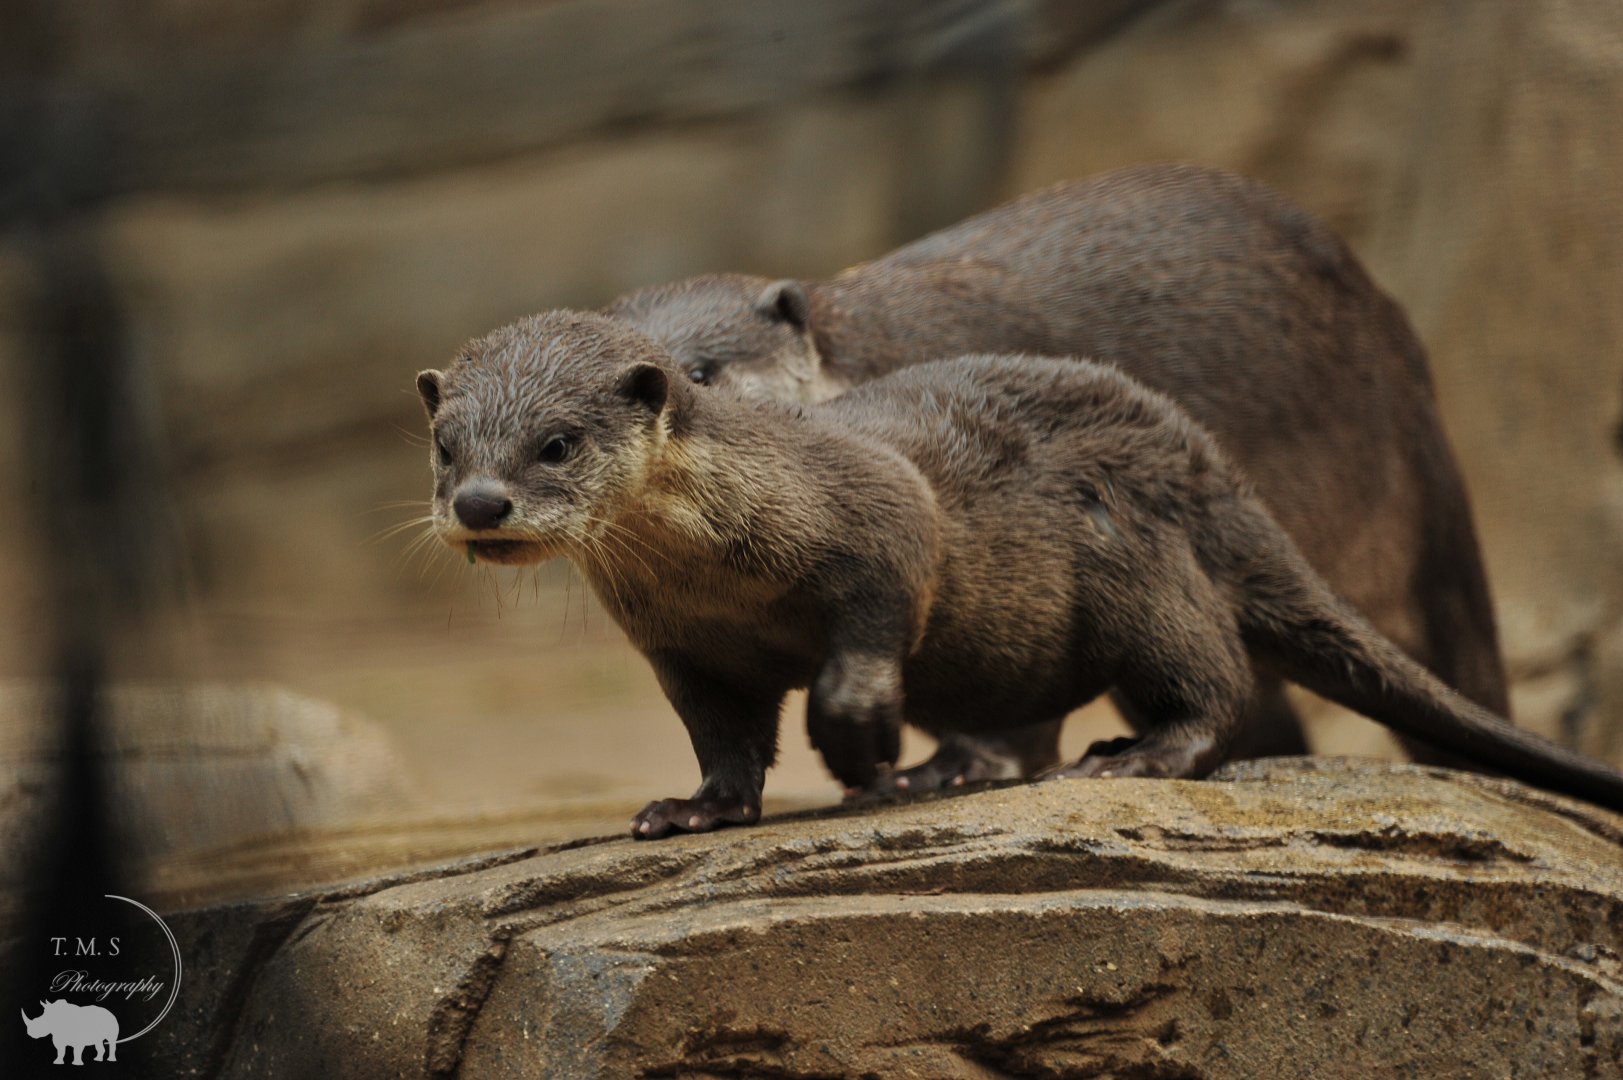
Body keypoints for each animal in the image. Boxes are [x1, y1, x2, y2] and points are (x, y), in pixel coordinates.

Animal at [415, 311, 1623, 838]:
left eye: (557, 443)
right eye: (446, 446)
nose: (480, 506)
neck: (718, 567)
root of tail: (1207, 464)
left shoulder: (873, 511)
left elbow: (880, 608)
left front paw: (865, 751)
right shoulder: (683, 648)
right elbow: (723, 740)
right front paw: (694, 809)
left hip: (1139, 567)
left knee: (1217, 682)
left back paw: (1132, 757)